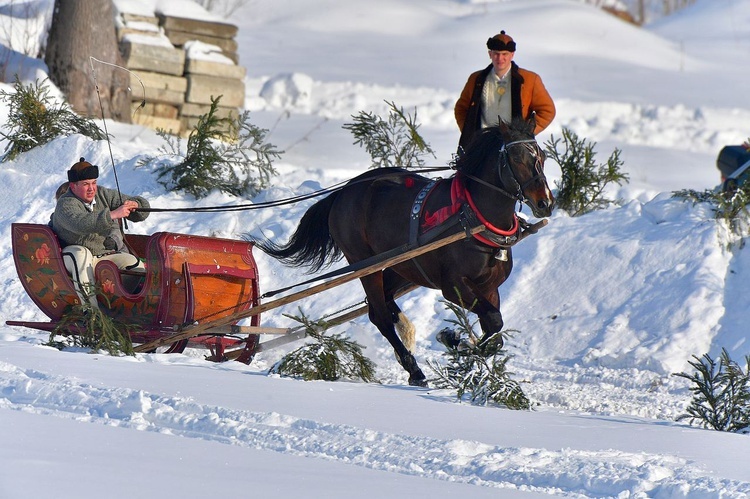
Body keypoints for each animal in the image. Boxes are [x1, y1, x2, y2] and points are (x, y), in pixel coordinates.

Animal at [256, 117, 556, 386]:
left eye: (541, 155)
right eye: (516, 157)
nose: (545, 203)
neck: (472, 216)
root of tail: (344, 192)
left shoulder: (490, 288)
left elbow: (495, 332)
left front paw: (458, 342)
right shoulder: (453, 286)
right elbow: (493, 320)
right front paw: (452, 339)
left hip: (402, 266)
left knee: (383, 303)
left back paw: (407, 336)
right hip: (365, 264)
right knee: (378, 315)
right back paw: (414, 369)